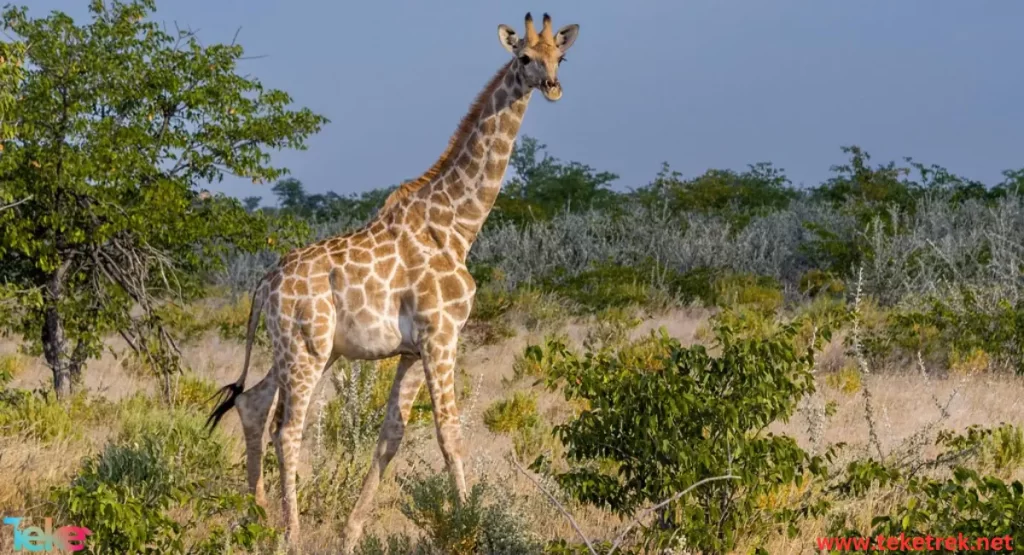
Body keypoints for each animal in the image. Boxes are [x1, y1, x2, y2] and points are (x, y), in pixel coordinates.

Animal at [203, 11, 581, 552]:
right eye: (524, 57)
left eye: (560, 57)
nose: (551, 86)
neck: (458, 226)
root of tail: (263, 285)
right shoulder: (441, 335)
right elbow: (449, 433)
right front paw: (469, 525)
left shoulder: (410, 349)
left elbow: (392, 435)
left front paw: (351, 533)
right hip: (306, 347)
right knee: (288, 428)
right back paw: (289, 532)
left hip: (305, 348)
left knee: (254, 403)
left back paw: (257, 519)